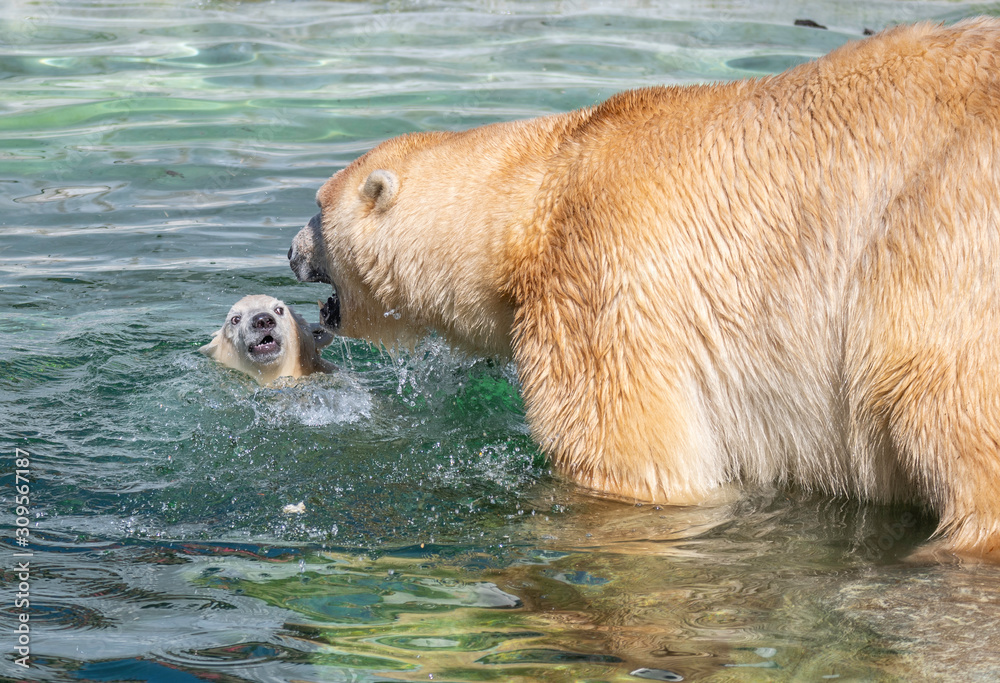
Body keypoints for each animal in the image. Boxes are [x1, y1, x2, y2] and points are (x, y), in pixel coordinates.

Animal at [289, 18, 1000, 560]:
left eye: (317, 210)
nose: (291, 251)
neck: (537, 194)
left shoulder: (604, 278)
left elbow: (636, 458)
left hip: (935, 241)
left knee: (939, 401)